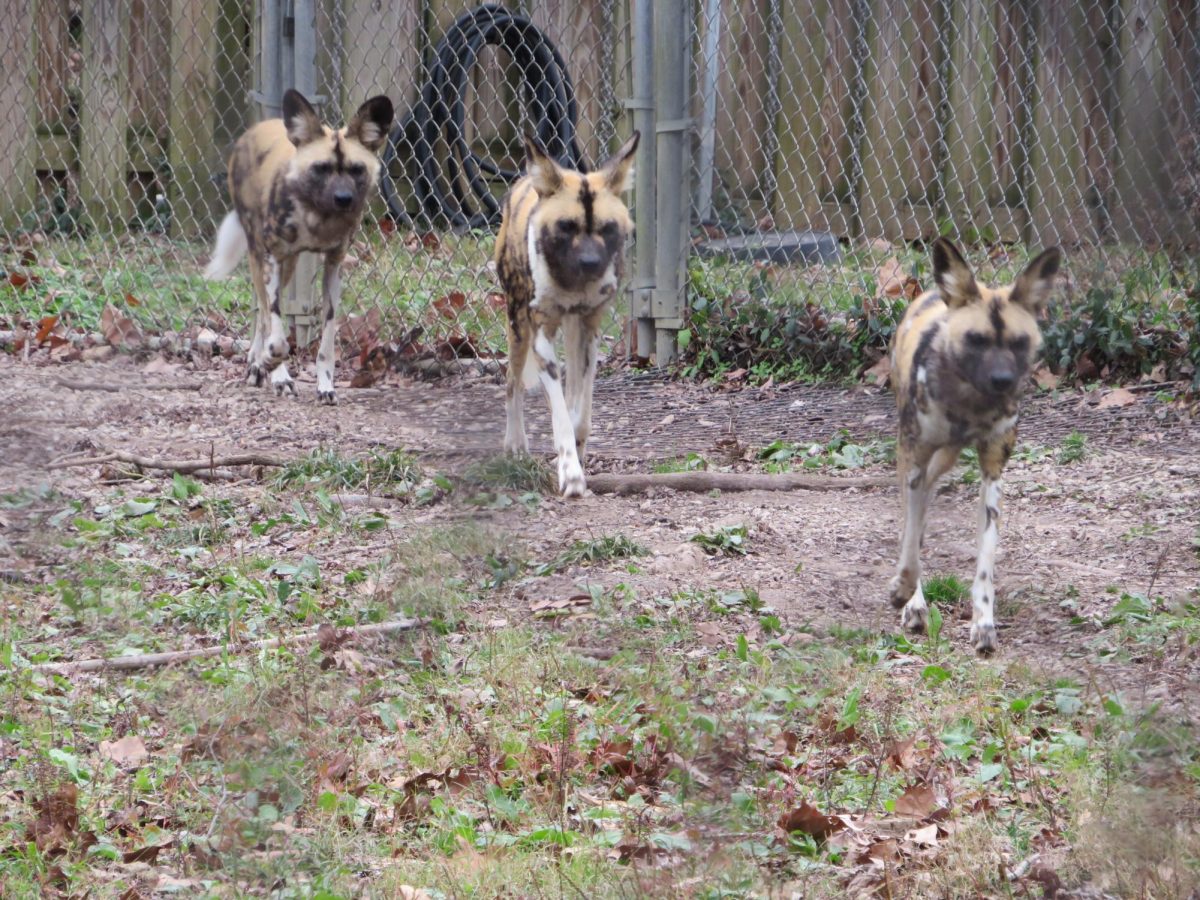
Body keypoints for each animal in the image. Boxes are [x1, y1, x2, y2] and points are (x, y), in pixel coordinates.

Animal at [204, 88, 393, 405]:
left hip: (289, 266)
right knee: (263, 314)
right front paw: (276, 369)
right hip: (262, 259)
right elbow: (277, 335)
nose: (343, 198)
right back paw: (263, 366)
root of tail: (256, 128)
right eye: (321, 169)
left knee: (261, 317)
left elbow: (326, 342)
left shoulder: (333, 266)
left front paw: (325, 386)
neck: (318, 218)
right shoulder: (272, 260)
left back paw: (257, 363)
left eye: (356, 170)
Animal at [892, 240, 1060, 657]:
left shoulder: (993, 469)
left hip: (944, 459)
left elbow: (986, 554)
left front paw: (983, 621)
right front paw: (907, 594)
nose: (1002, 380)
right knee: (913, 516)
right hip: (913, 457)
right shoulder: (914, 458)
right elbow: (911, 545)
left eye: (1019, 342)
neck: (970, 404)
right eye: (976, 339)